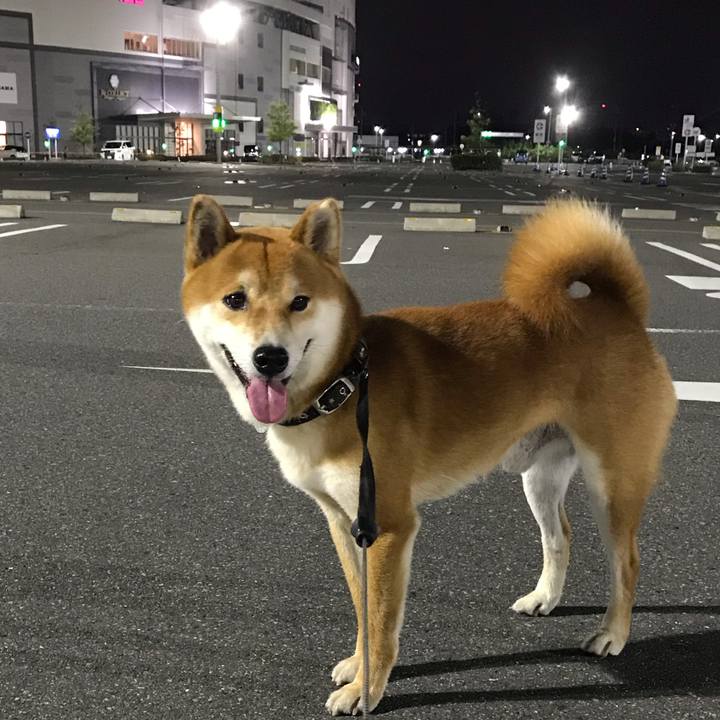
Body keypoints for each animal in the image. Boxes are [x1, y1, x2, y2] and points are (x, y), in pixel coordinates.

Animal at [181, 196, 677, 715]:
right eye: (235, 300)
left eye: (300, 302)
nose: (270, 357)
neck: (343, 386)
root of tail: (620, 311)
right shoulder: (345, 521)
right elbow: (362, 606)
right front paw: (359, 665)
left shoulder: (389, 524)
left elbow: (381, 620)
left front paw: (367, 690)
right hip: (540, 478)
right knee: (559, 535)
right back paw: (545, 597)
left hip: (612, 483)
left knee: (627, 562)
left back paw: (612, 634)